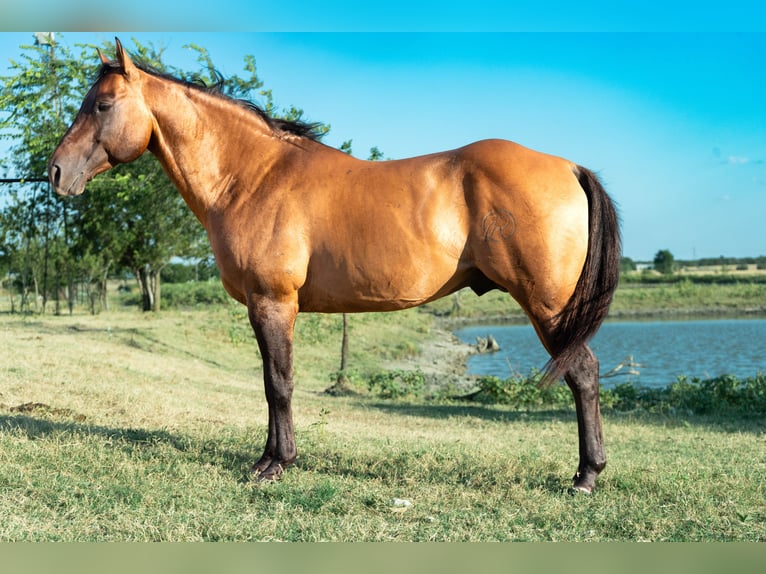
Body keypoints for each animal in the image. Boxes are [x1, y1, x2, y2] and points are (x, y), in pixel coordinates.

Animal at [49, 38, 620, 493]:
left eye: (102, 104)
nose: (54, 172)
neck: (252, 177)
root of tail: (568, 166)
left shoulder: (273, 303)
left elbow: (278, 382)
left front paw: (275, 465)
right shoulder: (268, 307)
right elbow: (271, 381)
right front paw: (269, 458)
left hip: (548, 306)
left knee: (583, 374)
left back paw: (586, 476)